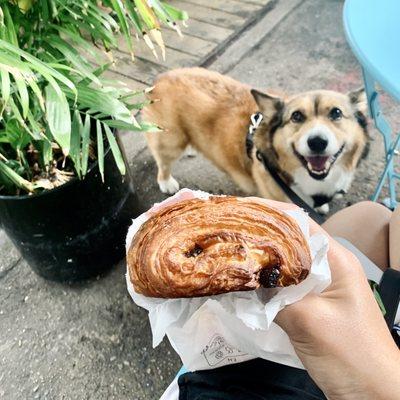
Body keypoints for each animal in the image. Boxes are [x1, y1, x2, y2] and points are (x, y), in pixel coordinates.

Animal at [141, 67, 368, 214]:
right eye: (296, 116)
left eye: (336, 113)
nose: (317, 142)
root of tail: (160, 79)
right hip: (170, 141)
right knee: (163, 162)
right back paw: (167, 183)